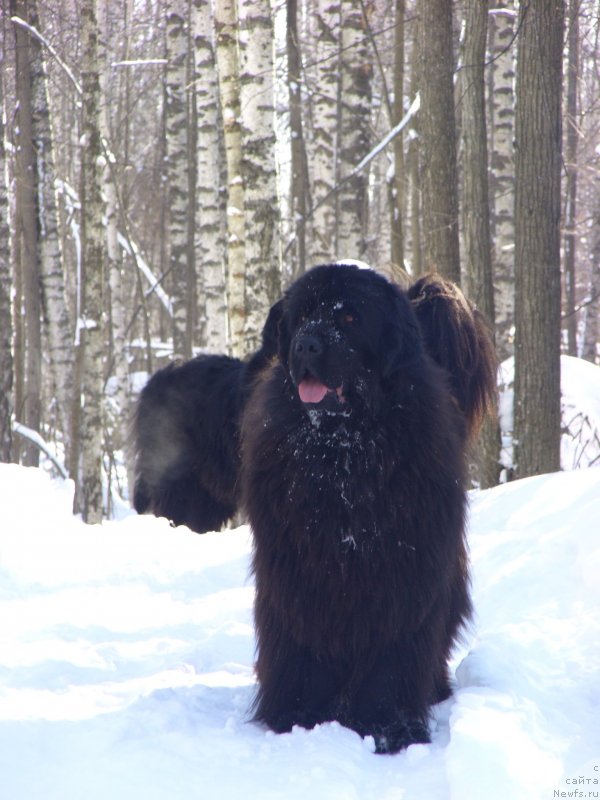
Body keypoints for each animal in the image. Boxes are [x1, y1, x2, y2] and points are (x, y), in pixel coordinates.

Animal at [239, 264, 496, 756]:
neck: (344, 455)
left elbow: (392, 655)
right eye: (303, 316)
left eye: (350, 319)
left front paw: (390, 726)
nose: (306, 344)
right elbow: (303, 647)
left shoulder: (401, 574)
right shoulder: (298, 571)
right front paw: (299, 717)